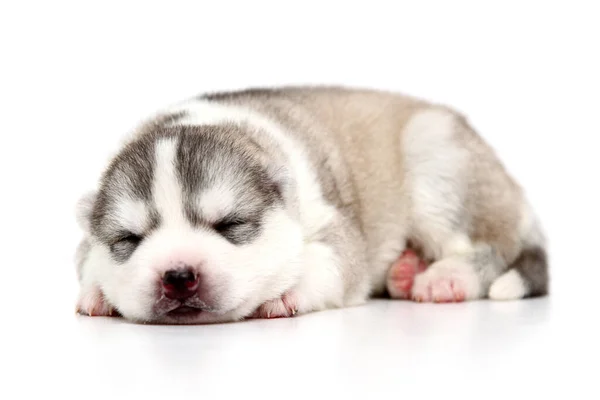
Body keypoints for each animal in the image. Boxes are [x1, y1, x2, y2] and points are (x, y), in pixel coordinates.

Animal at [74, 86, 548, 324]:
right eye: (129, 239)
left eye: (230, 225)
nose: (177, 276)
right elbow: (86, 261)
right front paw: (96, 291)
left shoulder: (332, 227)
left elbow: (330, 262)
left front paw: (288, 292)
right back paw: (405, 271)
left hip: (437, 162)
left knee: (494, 246)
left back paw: (445, 278)